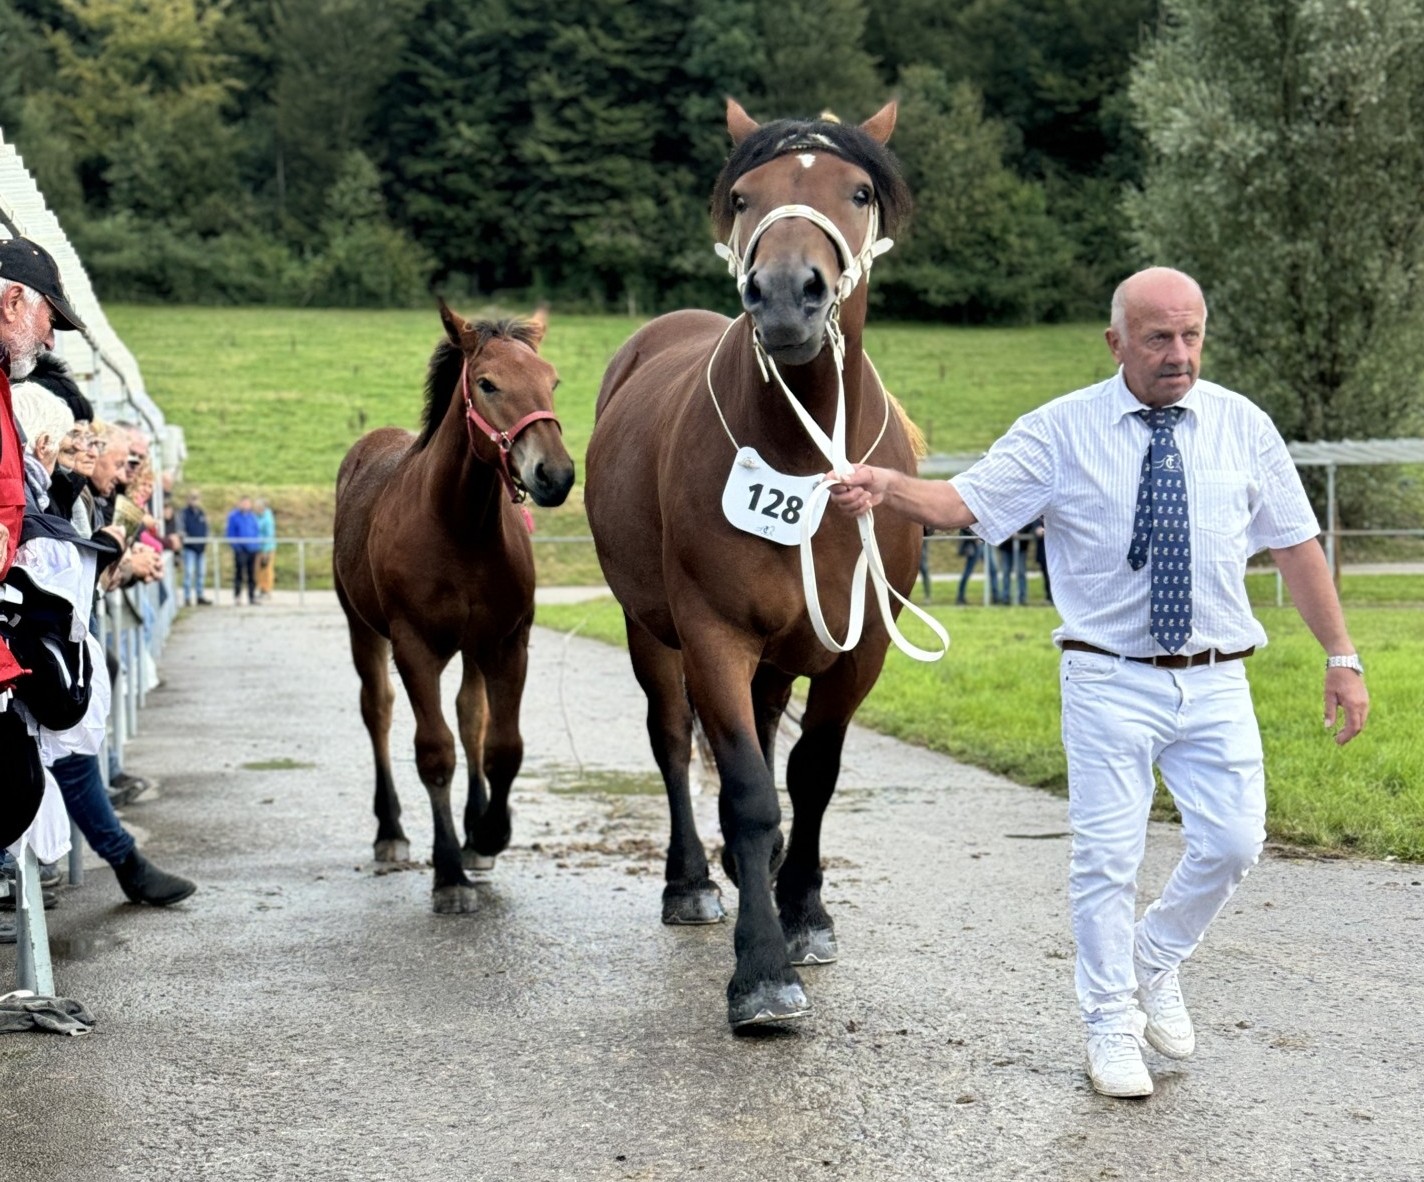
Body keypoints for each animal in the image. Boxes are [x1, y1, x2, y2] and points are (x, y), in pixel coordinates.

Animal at [333, 303, 572, 917]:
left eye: (552, 380)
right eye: (487, 384)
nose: (555, 475)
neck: (459, 525)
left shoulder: (507, 642)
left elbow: (501, 746)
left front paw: (487, 834)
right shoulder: (415, 648)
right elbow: (434, 752)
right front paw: (447, 875)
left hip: (472, 646)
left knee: (471, 717)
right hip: (362, 630)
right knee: (378, 711)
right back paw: (391, 831)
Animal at [586, 101, 928, 1025]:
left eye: (858, 191)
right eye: (744, 196)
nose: (782, 295)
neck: (806, 456)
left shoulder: (861, 650)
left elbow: (811, 775)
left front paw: (803, 911)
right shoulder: (714, 636)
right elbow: (745, 789)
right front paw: (763, 969)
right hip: (650, 631)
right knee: (674, 743)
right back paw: (694, 884)